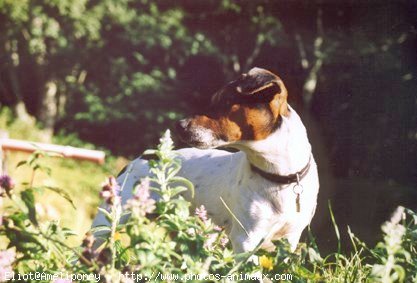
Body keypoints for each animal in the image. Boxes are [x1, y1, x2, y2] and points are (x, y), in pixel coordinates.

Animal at [92, 67, 318, 254]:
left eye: (225, 102)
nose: (179, 125)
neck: (278, 178)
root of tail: (140, 159)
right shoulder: (245, 240)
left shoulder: (289, 240)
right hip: (109, 221)